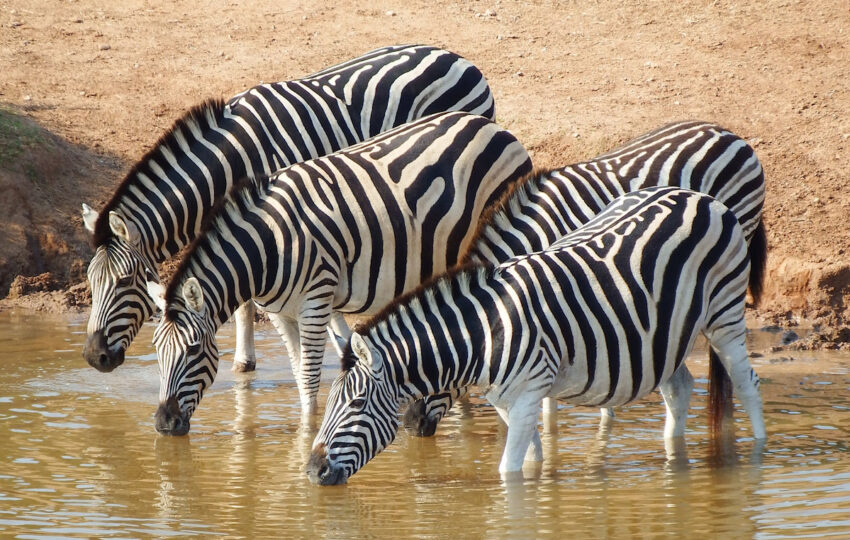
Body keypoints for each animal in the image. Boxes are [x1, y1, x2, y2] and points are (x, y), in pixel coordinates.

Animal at [79, 43, 496, 376]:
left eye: (124, 281)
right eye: (90, 281)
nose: (93, 357)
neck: (229, 162)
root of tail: (458, 57)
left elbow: (254, 300)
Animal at [144, 110, 528, 434]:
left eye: (194, 350)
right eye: (157, 350)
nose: (164, 423)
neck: (267, 247)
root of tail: (494, 127)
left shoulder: (315, 301)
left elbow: (310, 377)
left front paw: (306, 434)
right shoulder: (280, 312)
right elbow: (298, 373)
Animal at [308, 188, 764, 484]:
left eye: (356, 404)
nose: (313, 471)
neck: (484, 331)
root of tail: (700, 197)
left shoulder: (529, 393)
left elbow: (508, 471)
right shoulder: (508, 401)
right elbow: (530, 462)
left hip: (724, 313)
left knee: (747, 384)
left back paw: (758, 454)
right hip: (664, 337)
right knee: (680, 388)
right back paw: (674, 458)